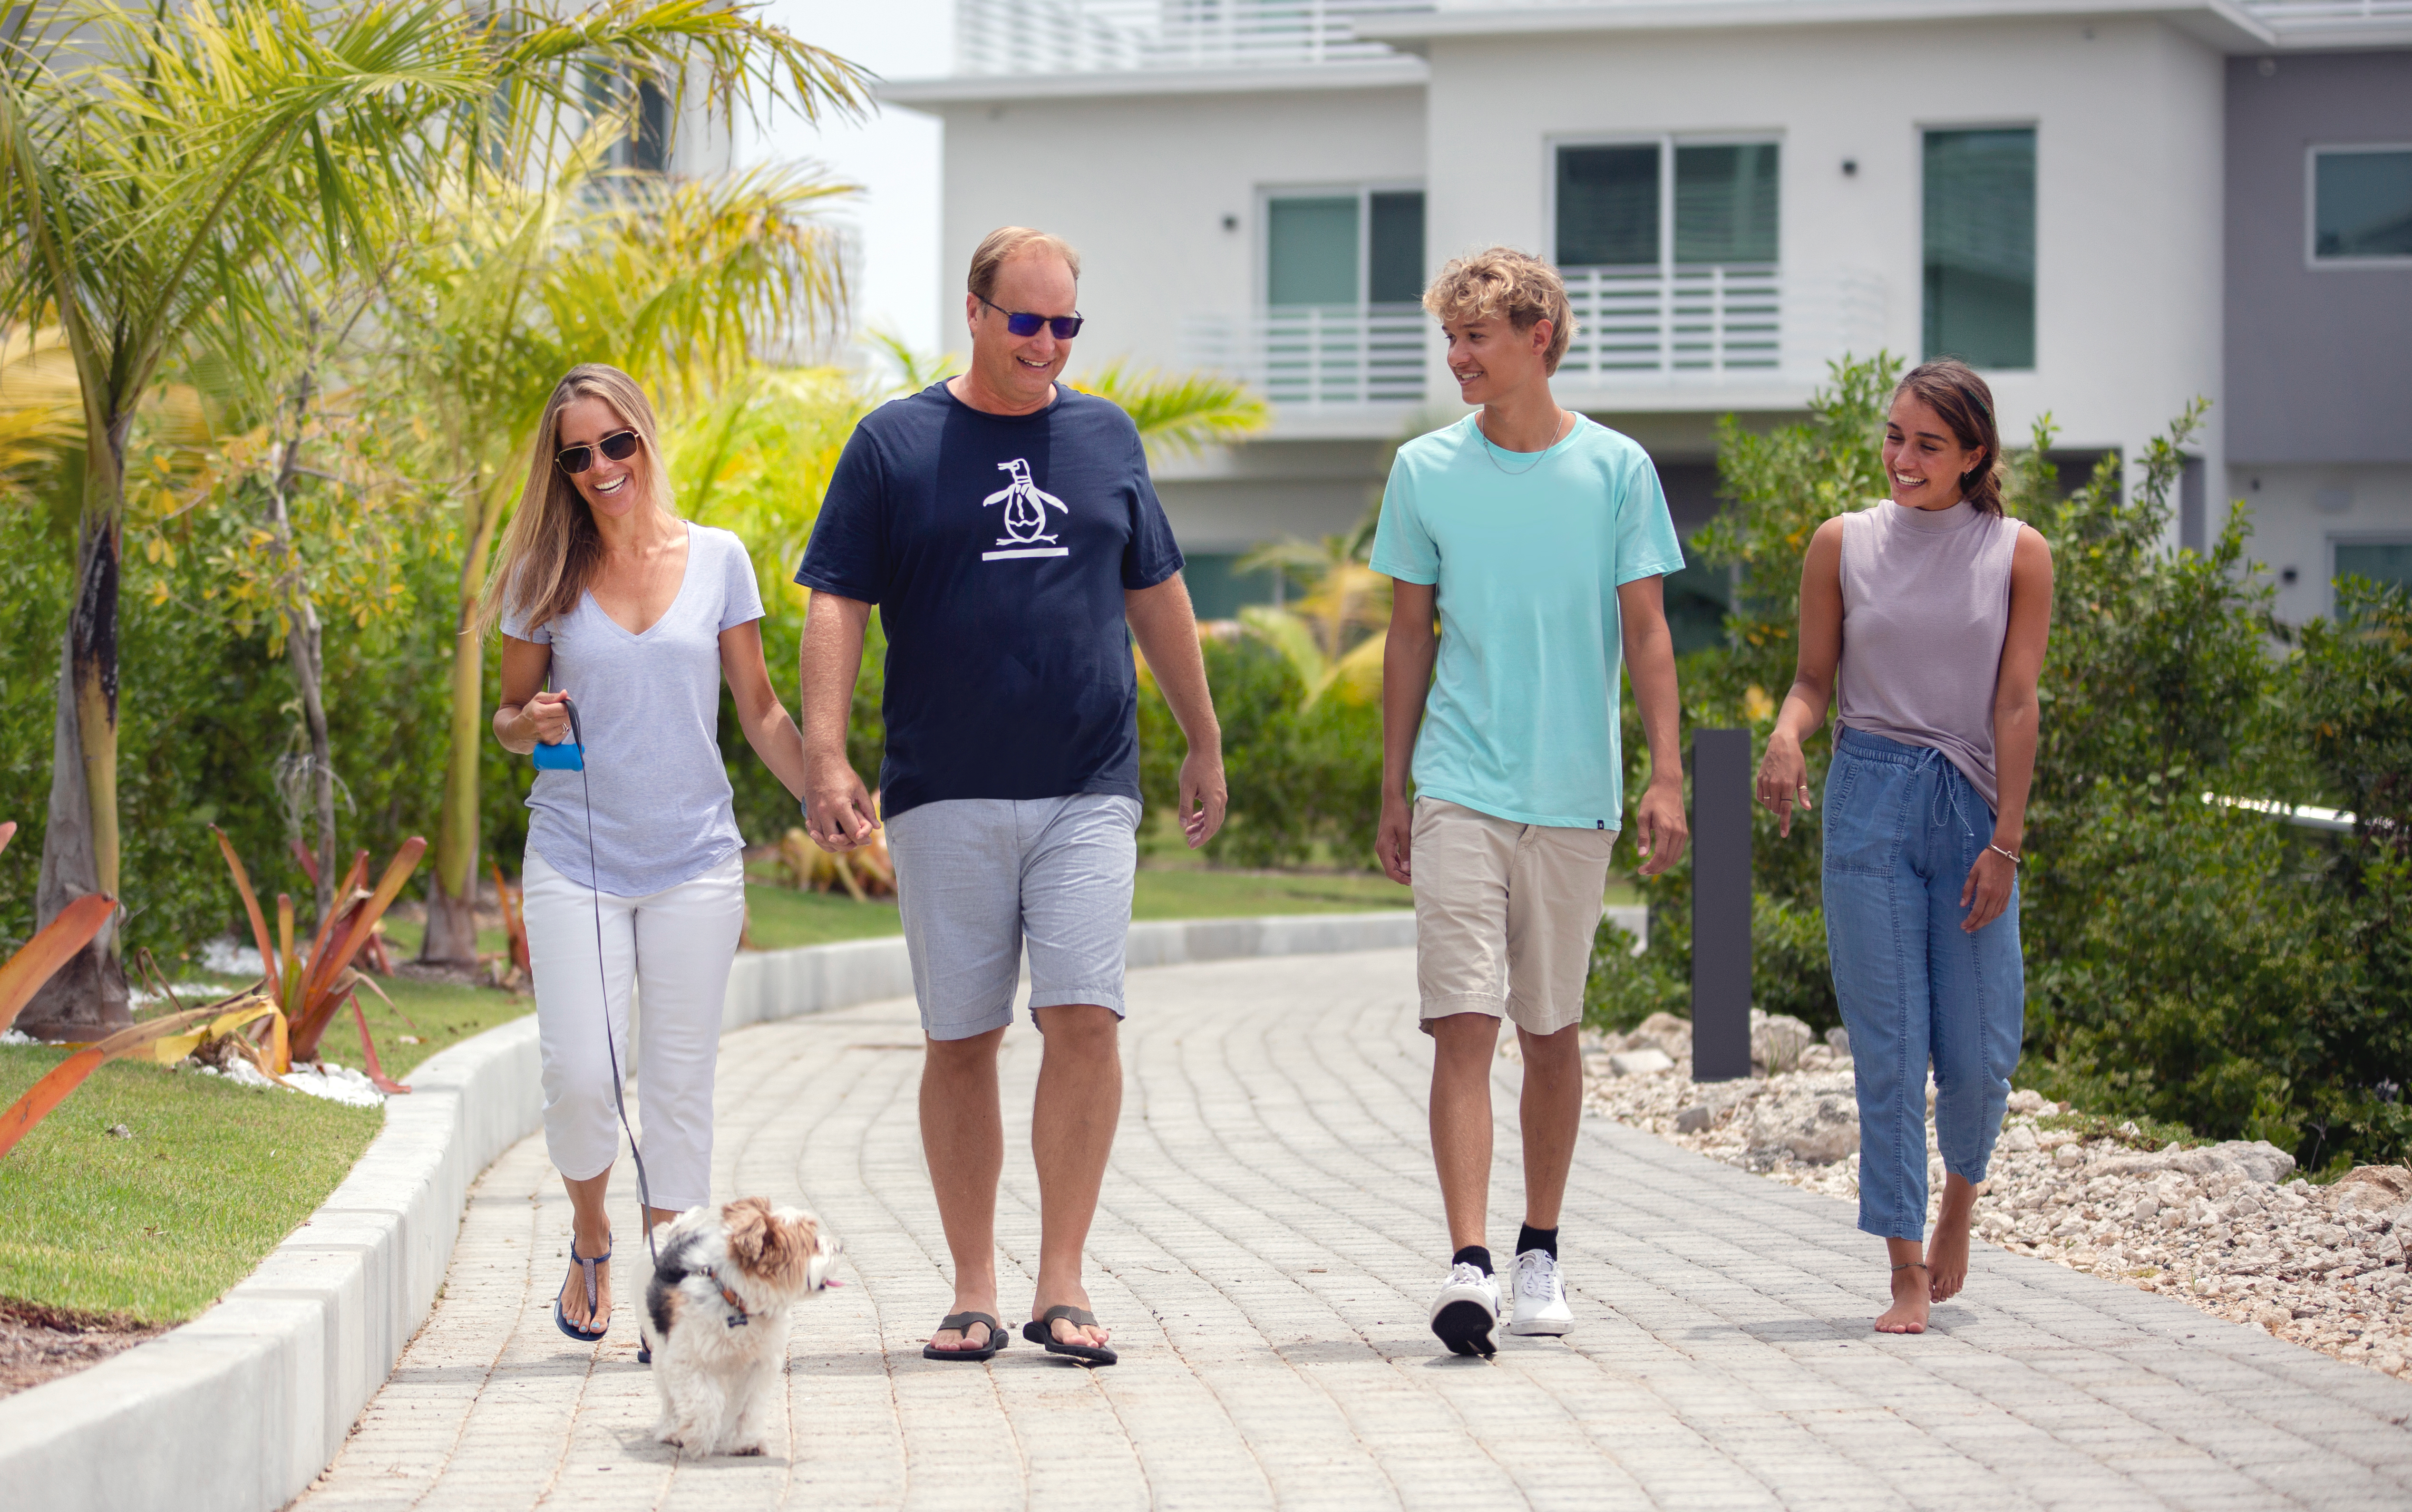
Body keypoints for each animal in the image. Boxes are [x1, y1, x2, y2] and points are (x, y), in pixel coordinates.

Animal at [642, 1196, 839, 1456]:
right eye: (814, 1244)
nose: (840, 1247)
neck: (738, 1302)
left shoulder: (759, 1365)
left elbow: (747, 1406)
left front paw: (744, 1442)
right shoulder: (686, 1359)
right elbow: (705, 1398)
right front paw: (698, 1436)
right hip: (663, 1354)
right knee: (671, 1398)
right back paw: (672, 1430)